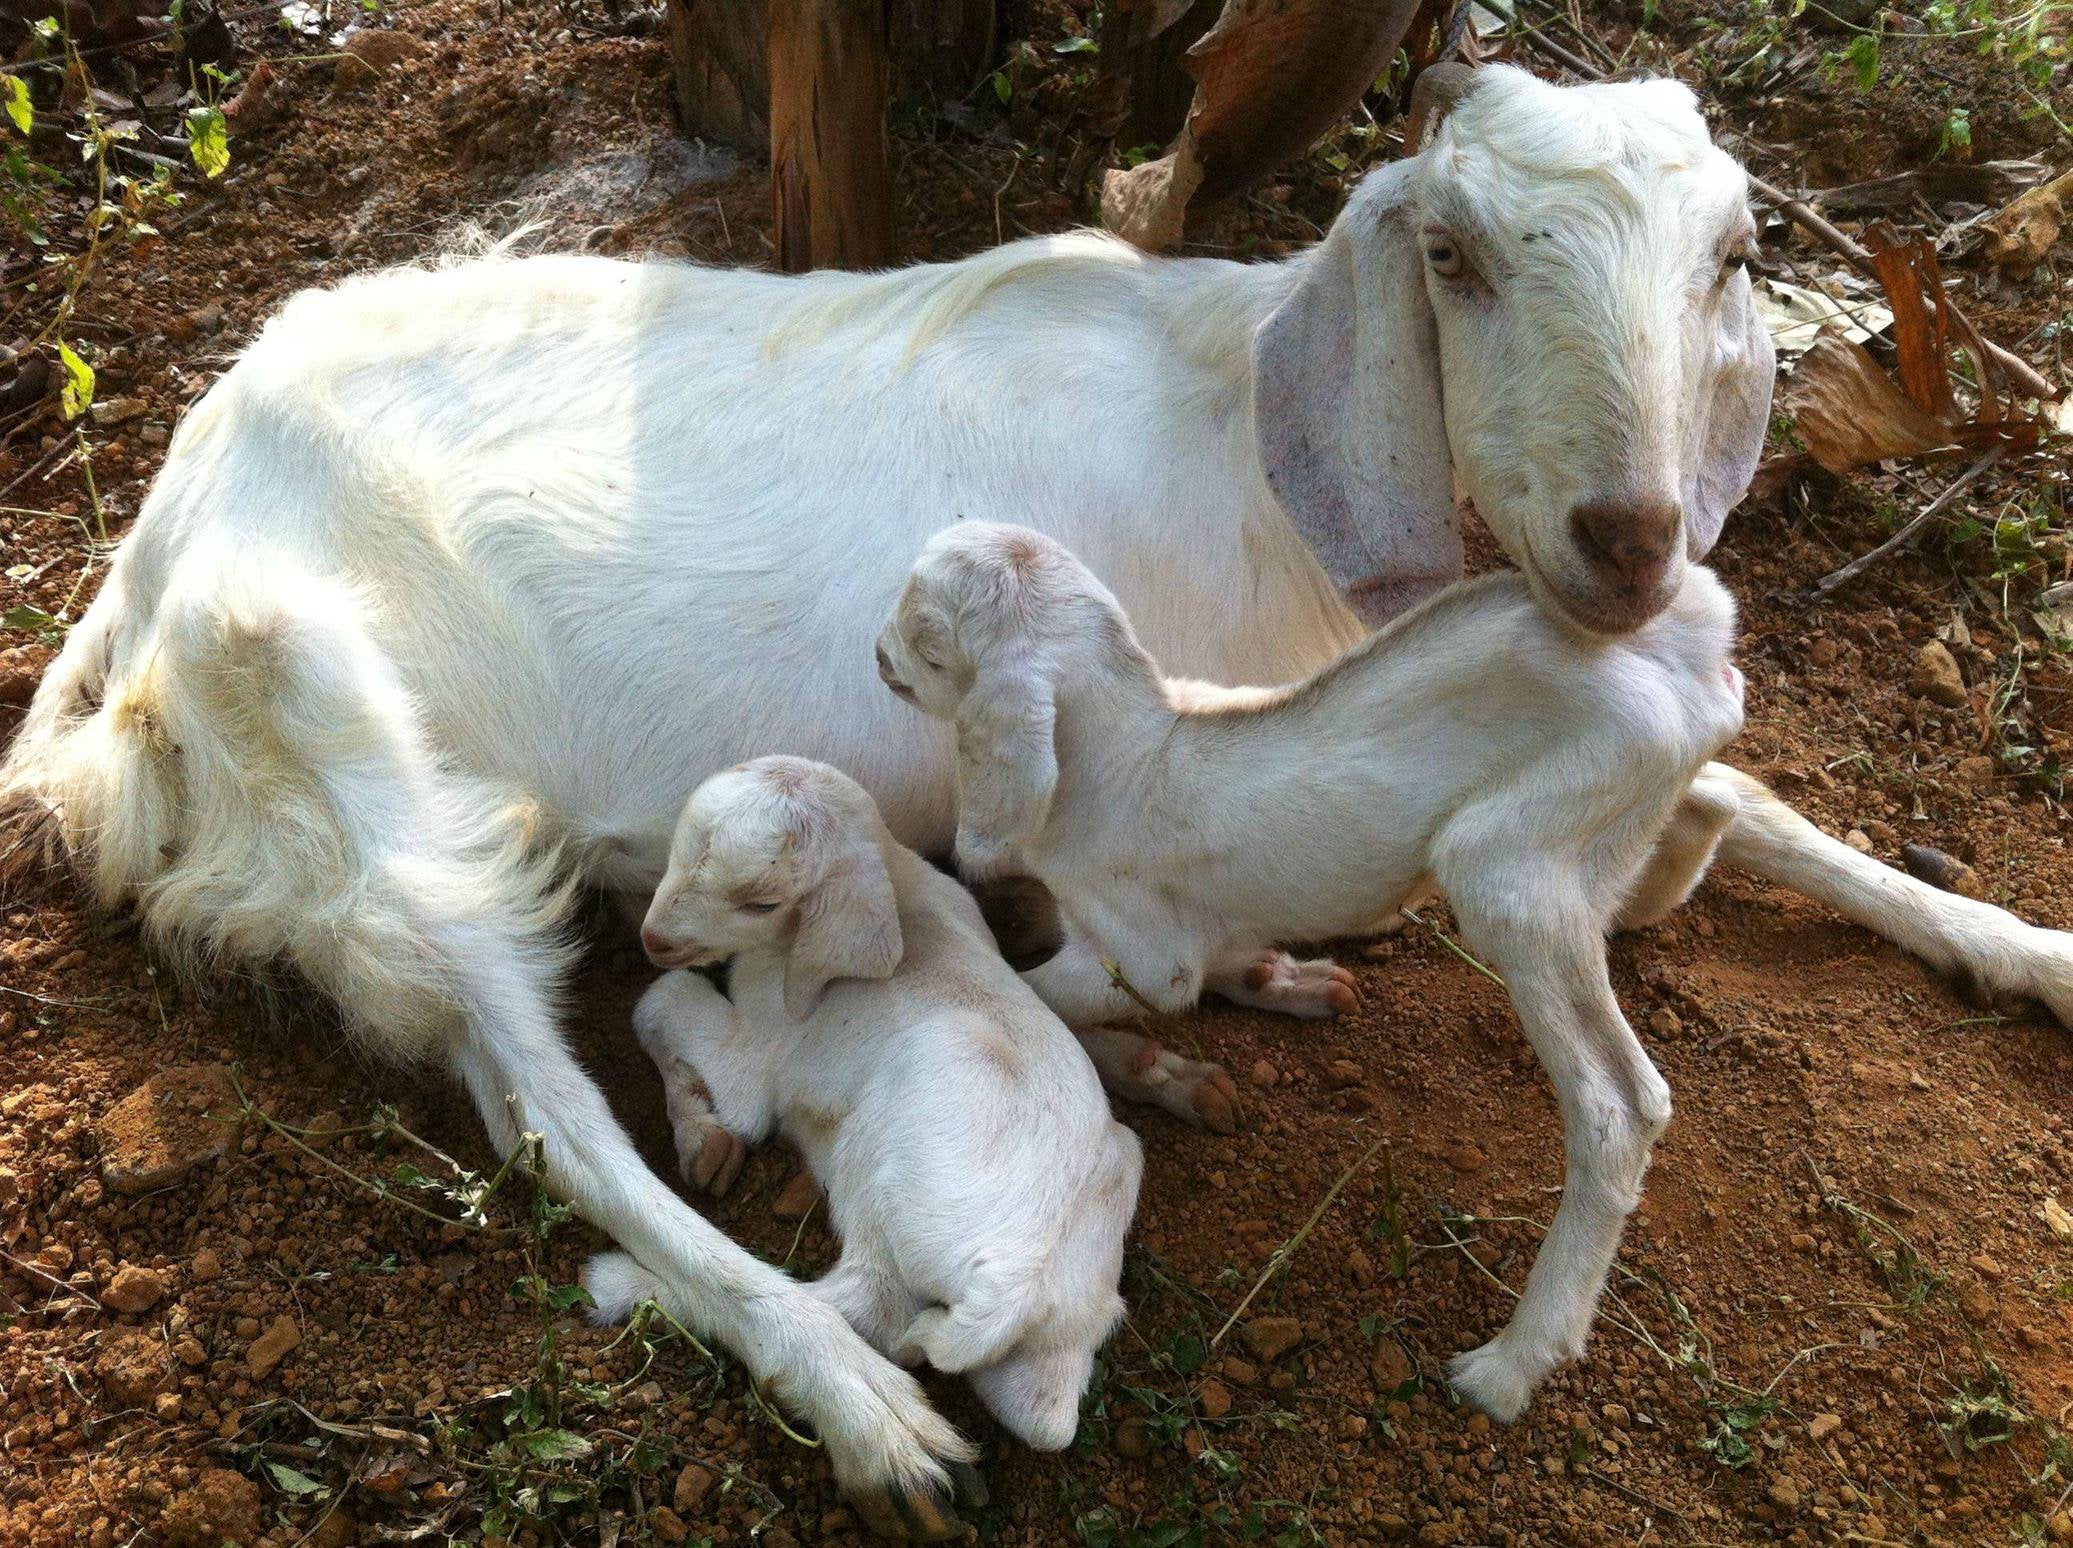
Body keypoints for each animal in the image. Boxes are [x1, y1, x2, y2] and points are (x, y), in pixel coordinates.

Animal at [585, 756, 1140, 1453]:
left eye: (762, 903)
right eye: (676, 852)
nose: (654, 939)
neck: (901, 889)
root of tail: (1014, 1283)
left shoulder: (760, 1054)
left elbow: (661, 1002)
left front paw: (702, 1130)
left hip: (887, 1162)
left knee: (860, 1306)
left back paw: (627, 1286)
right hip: (1083, 1272)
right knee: (1040, 1416)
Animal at [877, 522, 1747, 1419]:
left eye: (927, 641)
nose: (877, 656)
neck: (1126, 746)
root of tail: (1685, 654)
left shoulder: (1142, 953)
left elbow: (1047, 1003)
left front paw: (1156, 1069)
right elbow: (1219, 950)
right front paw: (1278, 984)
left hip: (1506, 867)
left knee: (1620, 1107)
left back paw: (1512, 1365)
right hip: (1609, 824)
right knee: (1708, 807)